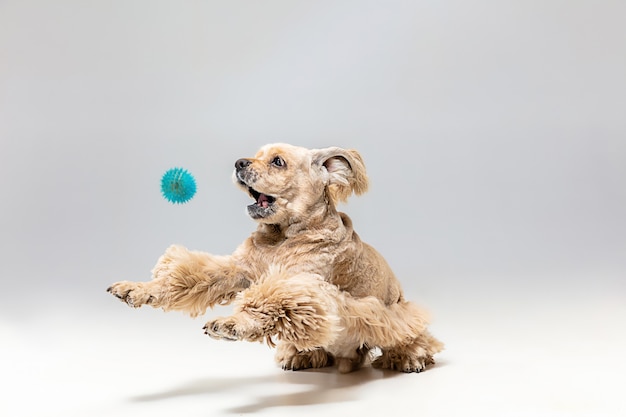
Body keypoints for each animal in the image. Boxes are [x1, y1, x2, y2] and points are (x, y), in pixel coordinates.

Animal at [107, 144, 442, 374]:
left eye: (278, 161)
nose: (239, 162)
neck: (282, 238)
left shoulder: (300, 286)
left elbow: (267, 302)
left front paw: (232, 323)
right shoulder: (238, 269)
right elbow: (189, 274)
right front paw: (138, 289)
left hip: (397, 315)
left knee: (413, 337)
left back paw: (409, 356)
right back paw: (301, 354)